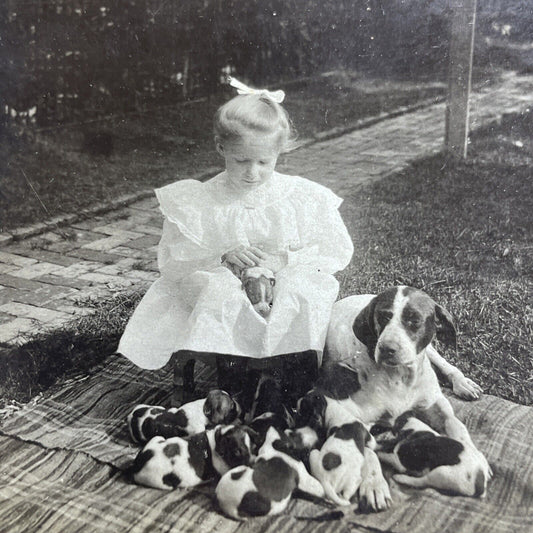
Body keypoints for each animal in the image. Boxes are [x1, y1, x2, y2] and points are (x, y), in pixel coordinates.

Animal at [127, 424, 256, 490]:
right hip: (164, 484)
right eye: (237, 452)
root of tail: (136, 466)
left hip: (157, 437)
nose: (253, 463)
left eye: (253, 446)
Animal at [320, 284, 490, 510]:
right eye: (383, 317)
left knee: (444, 363)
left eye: (414, 320)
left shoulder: (435, 404)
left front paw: (474, 454)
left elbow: (456, 425)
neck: (400, 377)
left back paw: (462, 382)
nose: (387, 348)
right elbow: (368, 451)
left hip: (432, 351)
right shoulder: (355, 416)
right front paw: (374, 483)